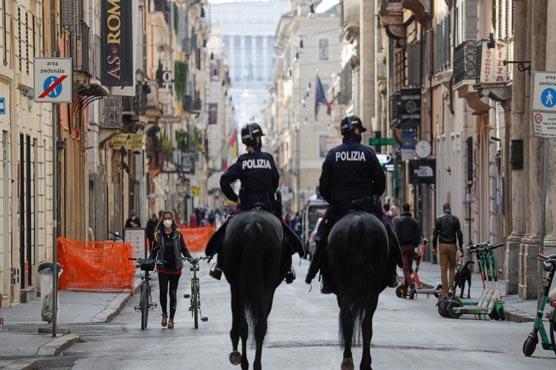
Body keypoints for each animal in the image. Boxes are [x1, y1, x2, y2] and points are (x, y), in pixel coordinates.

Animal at [219, 210, 288, 368]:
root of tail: (253, 226)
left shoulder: (235, 288)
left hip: (239, 286)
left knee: (246, 327)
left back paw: (245, 362)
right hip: (264, 286)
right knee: (259, 327)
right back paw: (254, 364)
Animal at [328, 211, 394, 370]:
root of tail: (357, 225)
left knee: (349, 320)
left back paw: (348, 360)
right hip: (372, 287)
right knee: (365, 324)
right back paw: (363, 363)